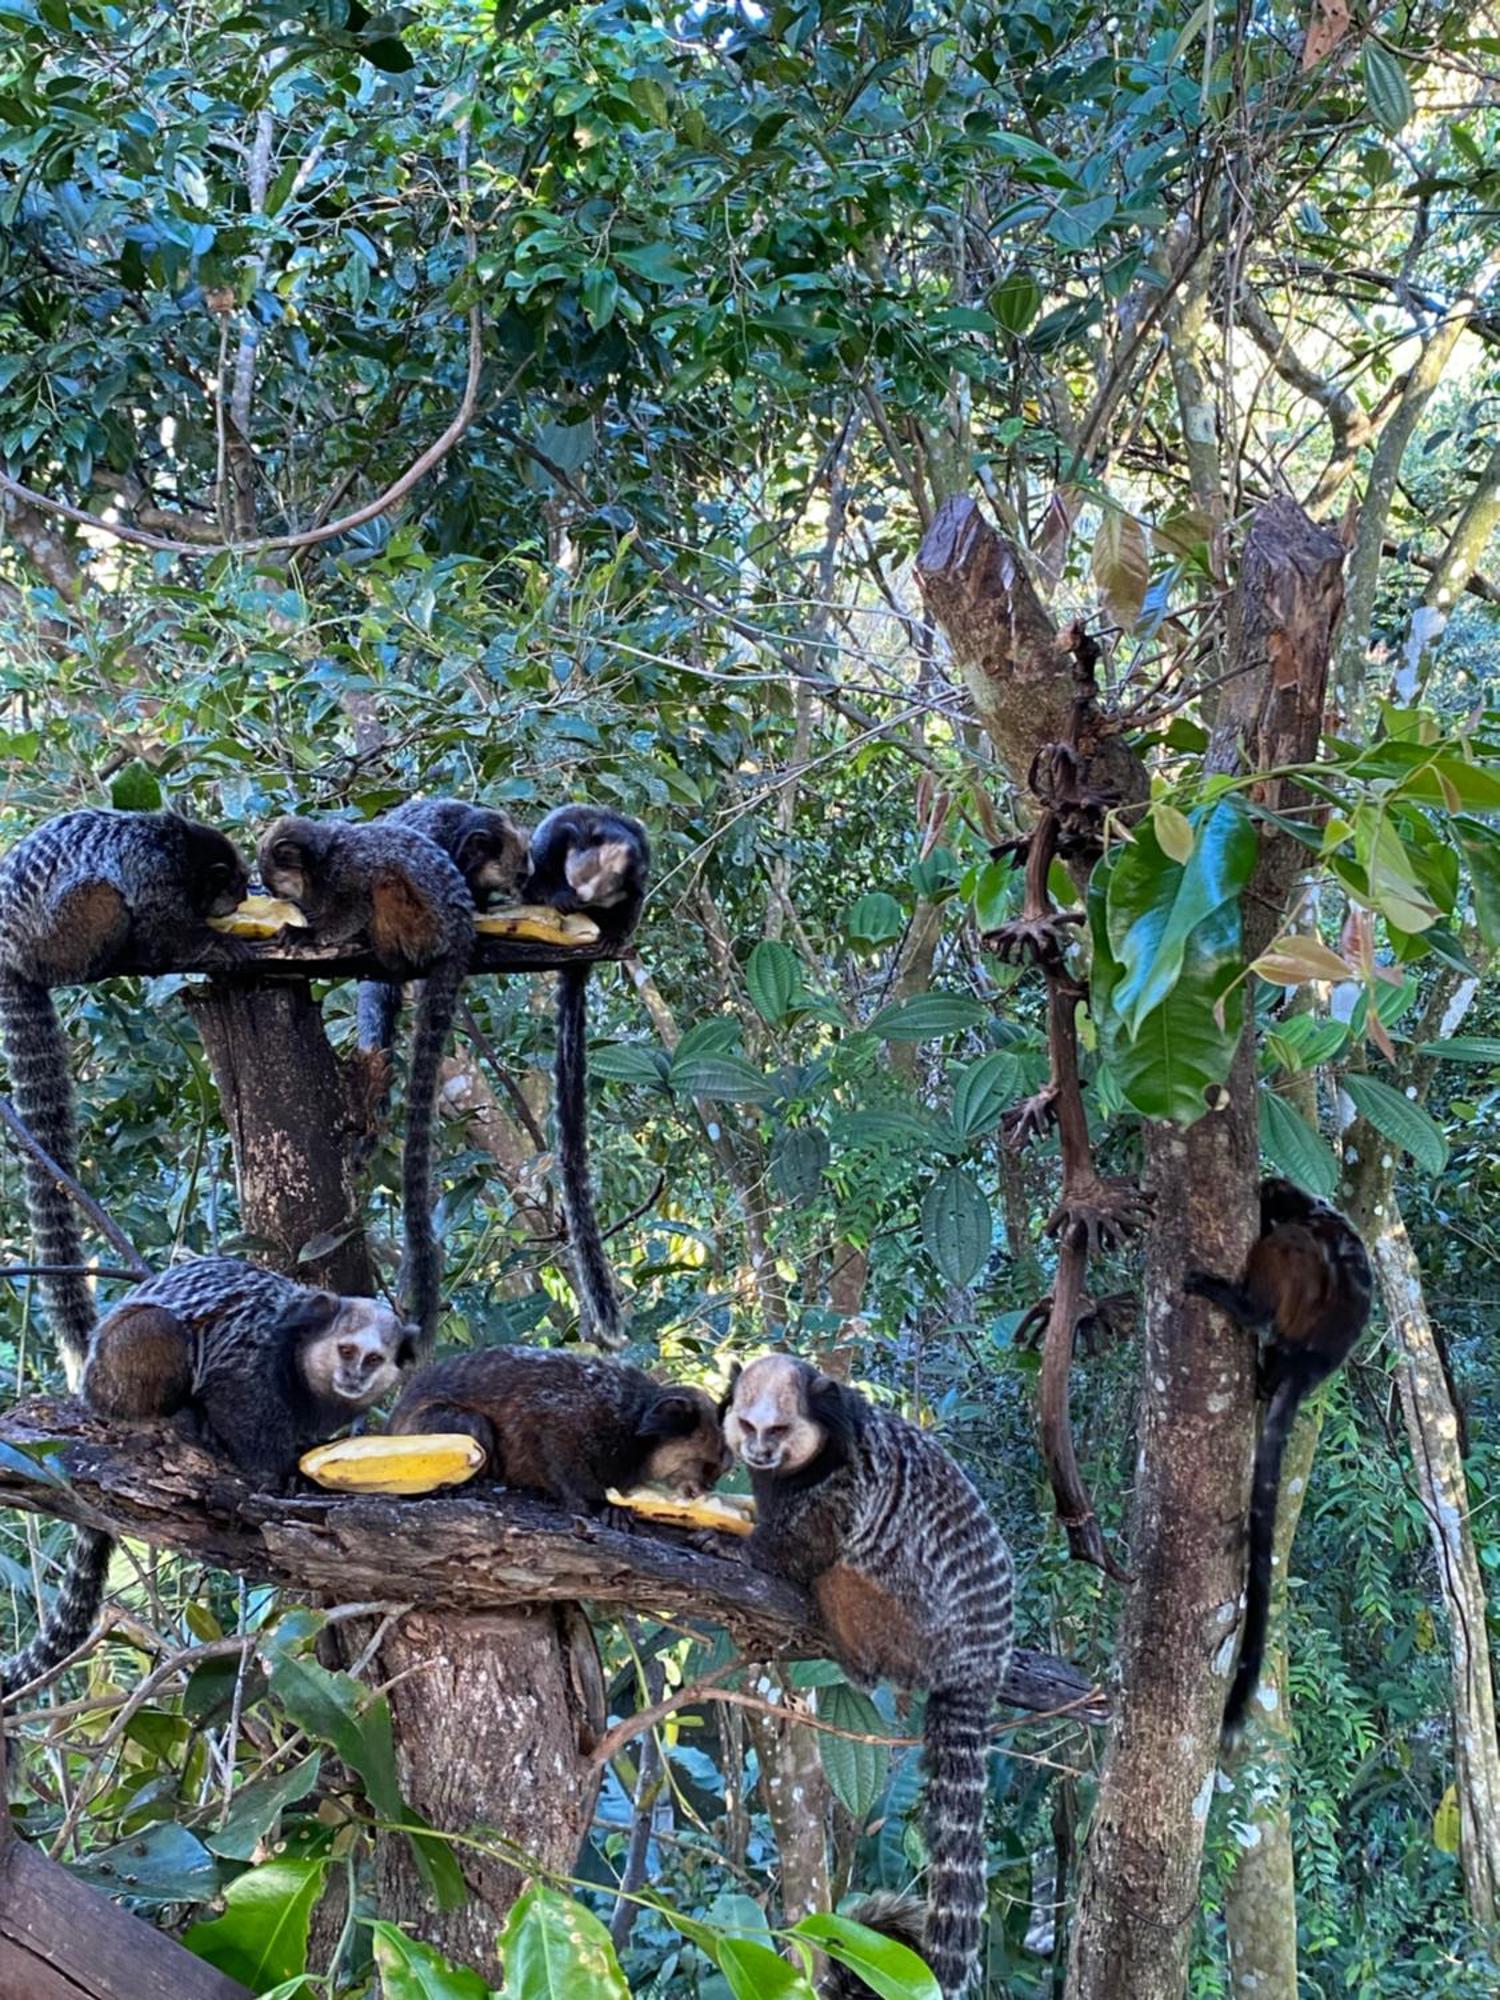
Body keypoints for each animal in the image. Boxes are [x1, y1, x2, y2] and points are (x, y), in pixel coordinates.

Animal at [0, 804, 250, 1384]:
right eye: (236, 885)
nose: (243, 899)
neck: (178, 851)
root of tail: (9, 950)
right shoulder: (156, 884)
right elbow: (166, 932)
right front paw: (220, 942)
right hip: (59, 933)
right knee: (101, 900)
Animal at [256, 820, 472, 1352]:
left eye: (279, 885)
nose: (278, 898)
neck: (320, 863)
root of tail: (461, 935)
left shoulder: (346, 872)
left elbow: (352, 906)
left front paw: (305, 931)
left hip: (422, 925)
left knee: (386, 883)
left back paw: (386, 953)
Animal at [388, 1344, 728, 1512]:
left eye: (717, 1474)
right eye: (706, 1467)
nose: (707, 1488)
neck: (634, 1433)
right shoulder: (594, 1410)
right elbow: (546, 1431)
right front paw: (599, 1505)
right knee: (473, 1425)